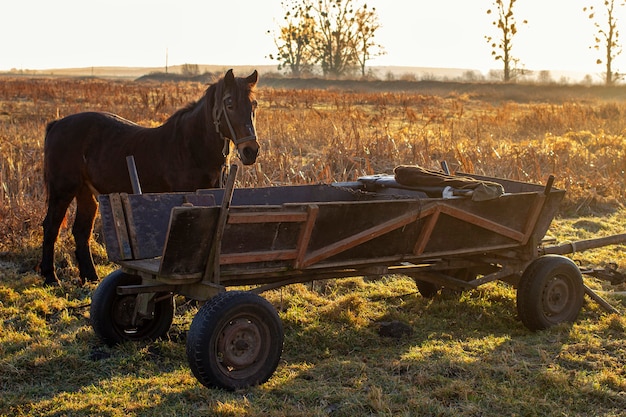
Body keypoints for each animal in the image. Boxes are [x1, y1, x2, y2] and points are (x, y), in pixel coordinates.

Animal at [39, 68, 258, 284]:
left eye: (254, 105)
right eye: (229, 104)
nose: (251, 151)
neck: (191, 147)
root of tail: (56, 124)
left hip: (85, 192)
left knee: (81, 230)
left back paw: (90, 277)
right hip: (62, 190)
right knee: (51, 227)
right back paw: (50, 276)